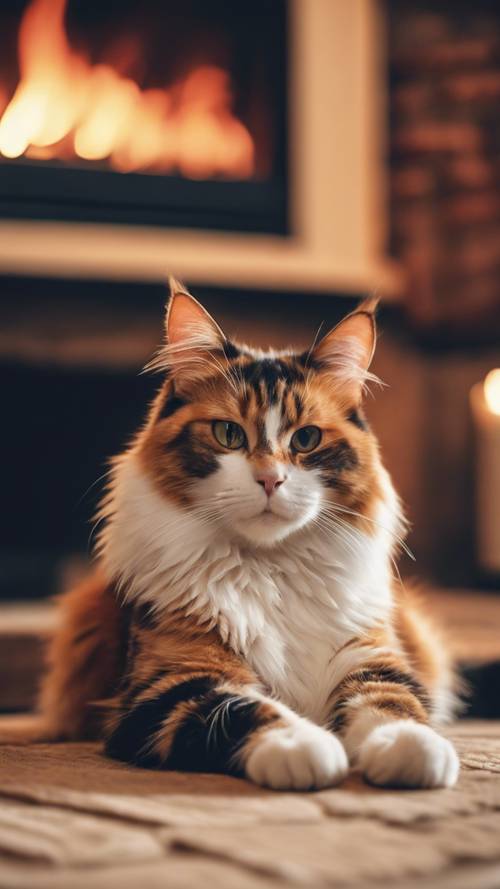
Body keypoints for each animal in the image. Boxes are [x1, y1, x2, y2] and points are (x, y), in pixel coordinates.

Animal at [40, 280, 460, 788]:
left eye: (306, 440)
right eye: (228, 434)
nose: (270, 480)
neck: (270, 569)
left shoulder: (369, 655)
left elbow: (392, 703)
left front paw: (411, 749)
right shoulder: (170, 682)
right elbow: (240, 707)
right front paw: (301, 746)